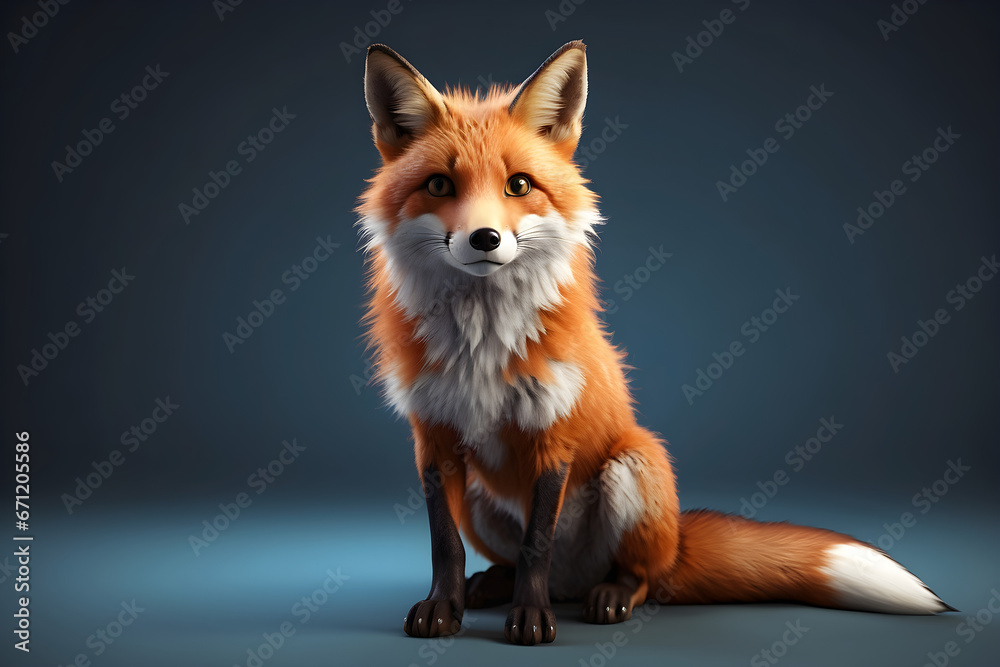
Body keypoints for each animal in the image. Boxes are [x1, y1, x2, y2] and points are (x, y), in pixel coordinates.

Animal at [357, 40, 953, 646]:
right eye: (439, 185)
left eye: (518, 185)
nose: (485, 238)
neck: (482, 343)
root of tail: (675, 543)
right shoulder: (433, 437)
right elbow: (445, 545)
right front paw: (442, 608)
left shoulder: (553, 434)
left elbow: (535, 546)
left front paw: (531, 617)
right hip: (484, 497)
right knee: (514, 560)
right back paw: (492, 585)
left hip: (635, 466)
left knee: (641, 578)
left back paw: (608, 595)